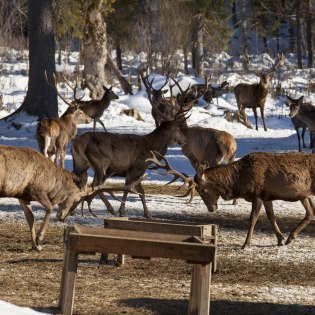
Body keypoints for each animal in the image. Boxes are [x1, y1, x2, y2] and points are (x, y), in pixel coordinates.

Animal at [0, 146, 142, 252]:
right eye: (79, 199)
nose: (62, 217)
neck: (52, 184)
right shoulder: (37, 189)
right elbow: (49, 208)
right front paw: (40, 240)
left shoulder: (22, 195)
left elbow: (30, 217)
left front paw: (35, 244)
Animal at [148, 152, 315, 251]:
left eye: (202, 190)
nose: (211, 208)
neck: (239, 180)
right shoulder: (267, 196)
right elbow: (271, 217)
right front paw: (280, 239)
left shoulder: (257, 195)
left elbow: (252, 219)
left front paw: (246, 244)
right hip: (305, 195)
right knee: (310, 212)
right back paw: (290, 237)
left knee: (310, 212)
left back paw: (291, 237)